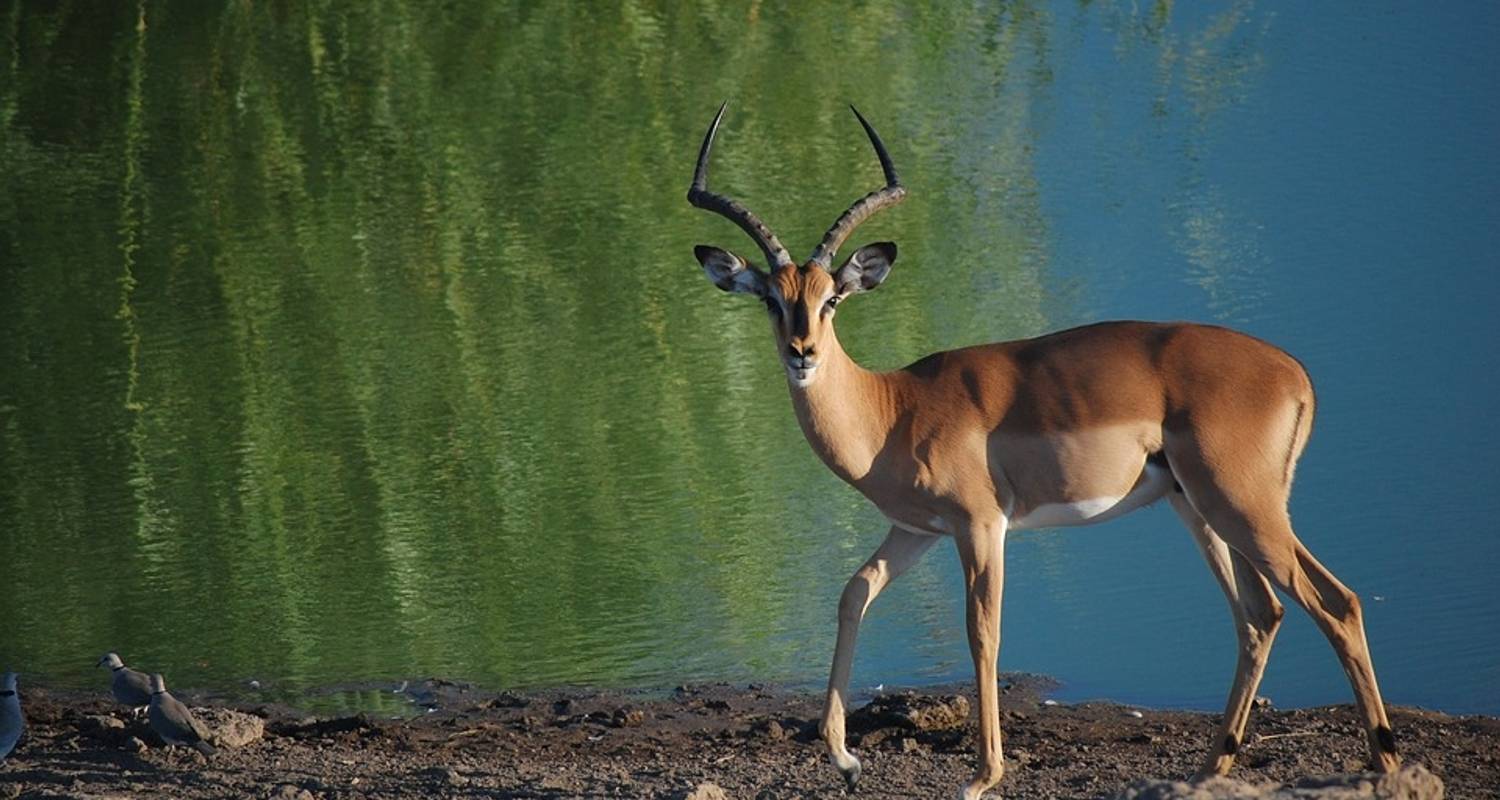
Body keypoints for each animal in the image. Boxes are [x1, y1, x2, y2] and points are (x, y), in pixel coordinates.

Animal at [687, 102, 1398, 792]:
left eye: (832, 298)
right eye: (772, 300)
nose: (802, 353)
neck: (892, 409)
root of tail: (1294, 373)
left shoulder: (981, 525)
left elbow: (983, 633)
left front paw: (982, 777)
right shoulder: (916, 530)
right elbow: (853, 593)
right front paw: (845, 759)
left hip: (1240, 506)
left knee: (1336, 604)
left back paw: (1384, 761)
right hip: (1202, 509)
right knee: (1261, 615)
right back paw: (1209, 768)